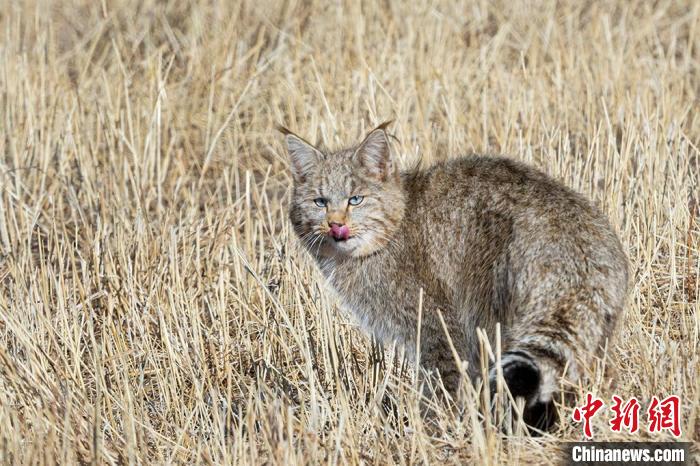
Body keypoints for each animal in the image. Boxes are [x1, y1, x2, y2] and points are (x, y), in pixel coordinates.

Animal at [282, 123, 632, 430]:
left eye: (355, 199)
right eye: (320, 202)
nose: (335, 225)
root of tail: (581, 244)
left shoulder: (438, 326)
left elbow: (443, 381)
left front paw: (435, 429)